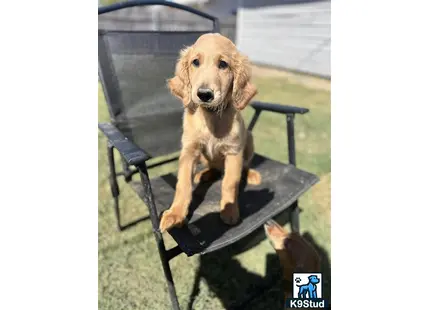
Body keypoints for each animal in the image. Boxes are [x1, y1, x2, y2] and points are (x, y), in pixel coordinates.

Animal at [159, 34, 262, 232]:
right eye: (195, 62)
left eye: (223, 64)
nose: (204, 94)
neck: (212, 117)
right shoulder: (189, 151)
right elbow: (183, 184)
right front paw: (176, 214)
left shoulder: (234, 152)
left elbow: (230, 183)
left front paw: (229, 210)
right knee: (213, 168)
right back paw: (204, 174)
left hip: (250, 139)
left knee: (244, 166)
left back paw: (251, 174)